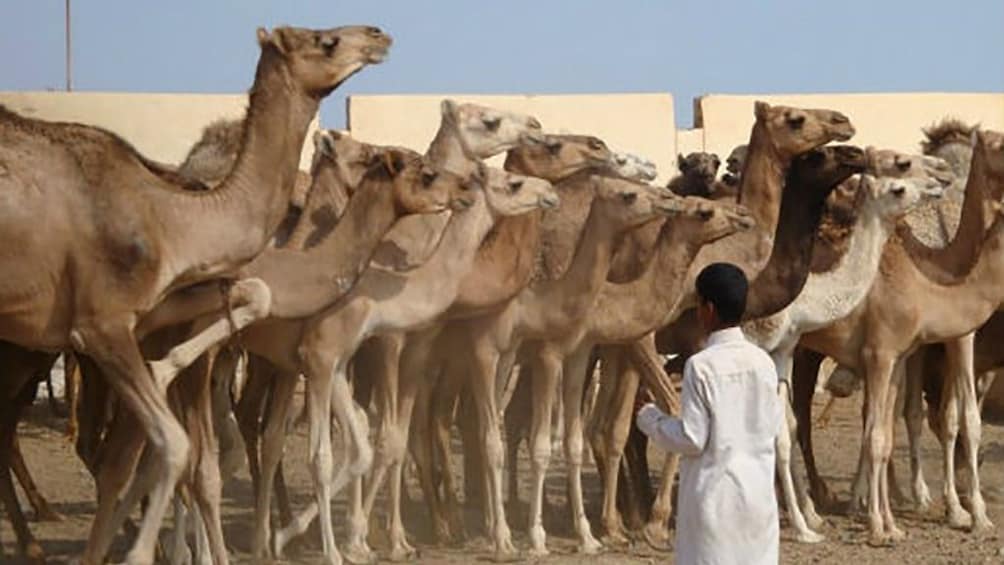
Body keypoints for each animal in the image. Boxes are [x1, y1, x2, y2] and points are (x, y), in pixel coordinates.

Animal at [0, 27, 389, 565]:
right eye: (324, 40)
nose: (378, 35)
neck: (173, 218)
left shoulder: (153, 319)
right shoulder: (102, 325)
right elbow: (181, 452)